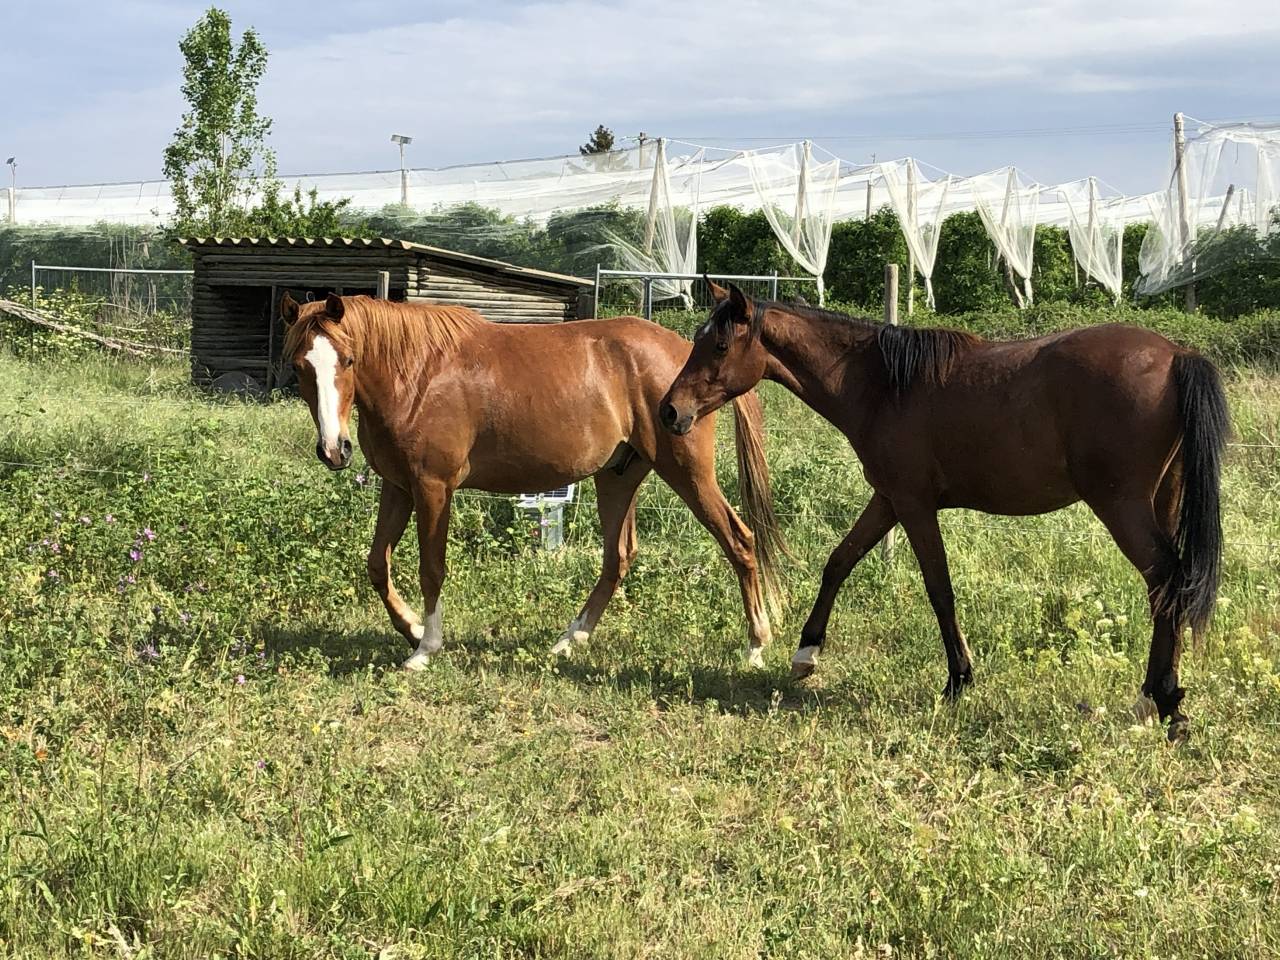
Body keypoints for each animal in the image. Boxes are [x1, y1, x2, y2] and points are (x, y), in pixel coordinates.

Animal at [280, 292, 785, 670]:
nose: (334, 449)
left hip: (686, 471)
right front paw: (413, 629)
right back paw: (569, 640)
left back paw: (756, 644)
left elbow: (431, 568)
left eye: (348, 360)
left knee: (739, 540)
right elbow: (377, 565)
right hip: (617, 477)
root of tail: (688, 360)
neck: (416, 373)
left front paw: (426, 648)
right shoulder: (398, 487)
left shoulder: (433, 488)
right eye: (299, 366)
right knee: (618, 557)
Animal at [659, 282, 1229, 741]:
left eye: (719, 344)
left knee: (1167, 579)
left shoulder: (914, 505)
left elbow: (939, 590)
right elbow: (839, 562)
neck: (883, 386)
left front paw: (958, 681)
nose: (669, 411)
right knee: (1169, 589)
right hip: (1161, 500)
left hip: (1122, 505)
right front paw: (806, 655)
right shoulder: (887, 500)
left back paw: (1165, 700)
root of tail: (1177, 354)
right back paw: (1155, 698)